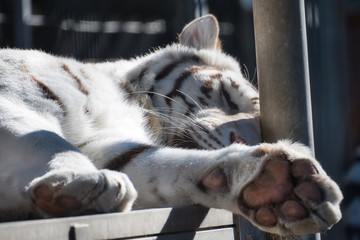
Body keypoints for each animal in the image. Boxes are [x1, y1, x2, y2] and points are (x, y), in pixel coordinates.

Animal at [0, 15, 344, 236]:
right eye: (227, 97)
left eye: (261, 130)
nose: (244, 140)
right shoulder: (15, 99)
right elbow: (47, 139)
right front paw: (86, 180)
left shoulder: (110, 147)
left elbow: (165, 166)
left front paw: (278, 185)